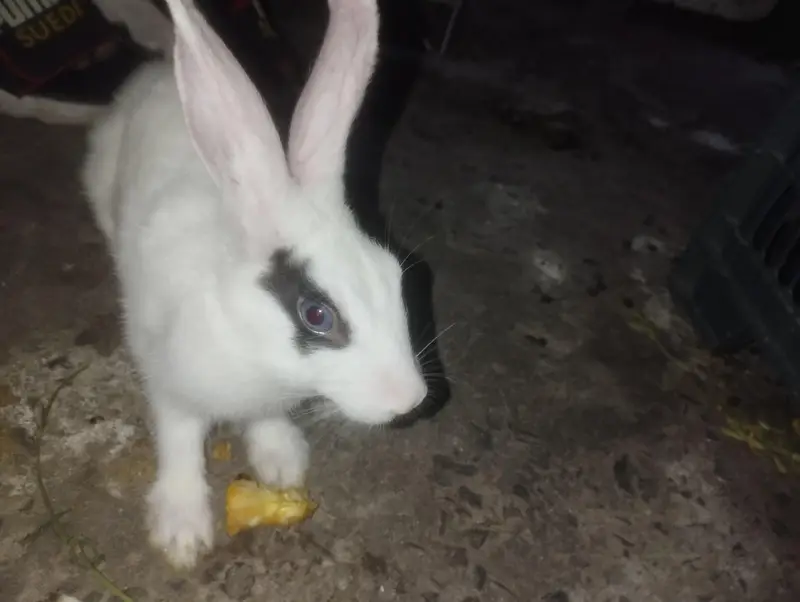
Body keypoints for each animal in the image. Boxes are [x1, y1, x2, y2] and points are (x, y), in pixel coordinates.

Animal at [81, 0, 428, 569]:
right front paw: (181, 533)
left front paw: (283, 461)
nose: (410, 400)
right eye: (316, 314)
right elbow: (179, 442)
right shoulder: (170, 382)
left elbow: (266, 422)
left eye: (394, 276)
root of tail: (156, 72)